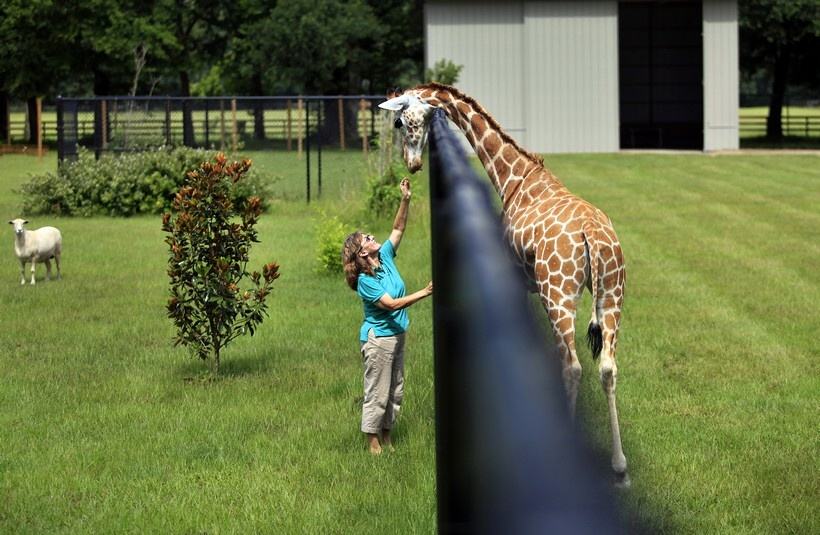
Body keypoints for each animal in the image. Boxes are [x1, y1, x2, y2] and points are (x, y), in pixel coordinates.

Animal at [382, 82, 632, 486]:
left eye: (401, 122)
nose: (412, 164)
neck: (513, 177)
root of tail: (592, 237)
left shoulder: (516, 280)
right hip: (612, 294)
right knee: (607, 368)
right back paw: (620, 468)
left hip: (560, 292)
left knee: (573, 366)